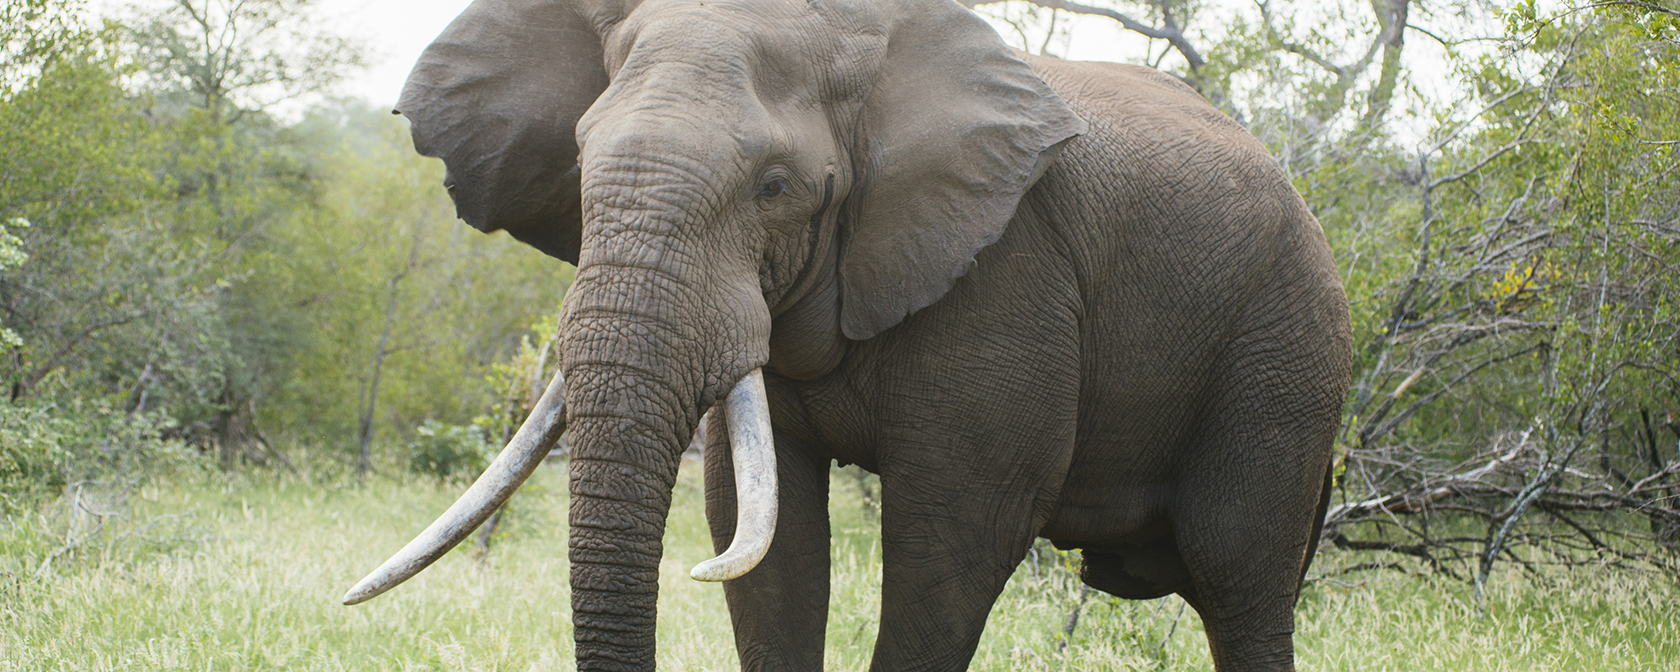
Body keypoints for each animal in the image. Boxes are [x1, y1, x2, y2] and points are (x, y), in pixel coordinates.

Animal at [341, 0, 1350, 668]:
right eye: (582, 162)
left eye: (775, 187)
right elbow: (764, 539)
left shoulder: (1009, 279)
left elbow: (953, 540)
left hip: (1285, 350)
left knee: (1239, 576)